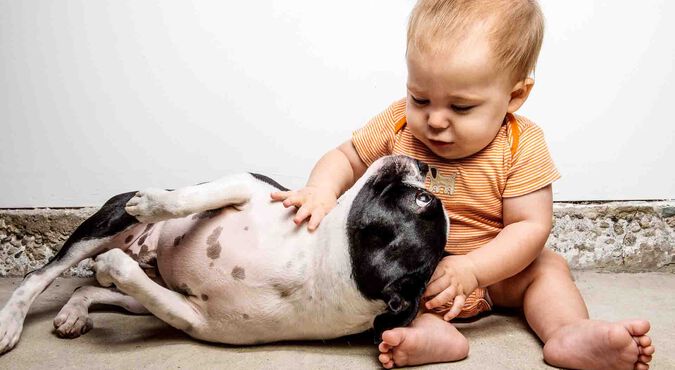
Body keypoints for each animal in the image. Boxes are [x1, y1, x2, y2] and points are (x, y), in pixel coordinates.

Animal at [0, 155, 448, 352]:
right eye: (425, 199)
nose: (424, 164)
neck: (316, 262)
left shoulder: (192, 317)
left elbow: (126, 275)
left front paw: (113, 265)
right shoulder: (246, 185)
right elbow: (190, 197)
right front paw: (154, 203)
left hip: (139, 298)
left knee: (93, 287)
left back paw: (74, 311)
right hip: (104, 223)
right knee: (41, 275)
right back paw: (10, 322)